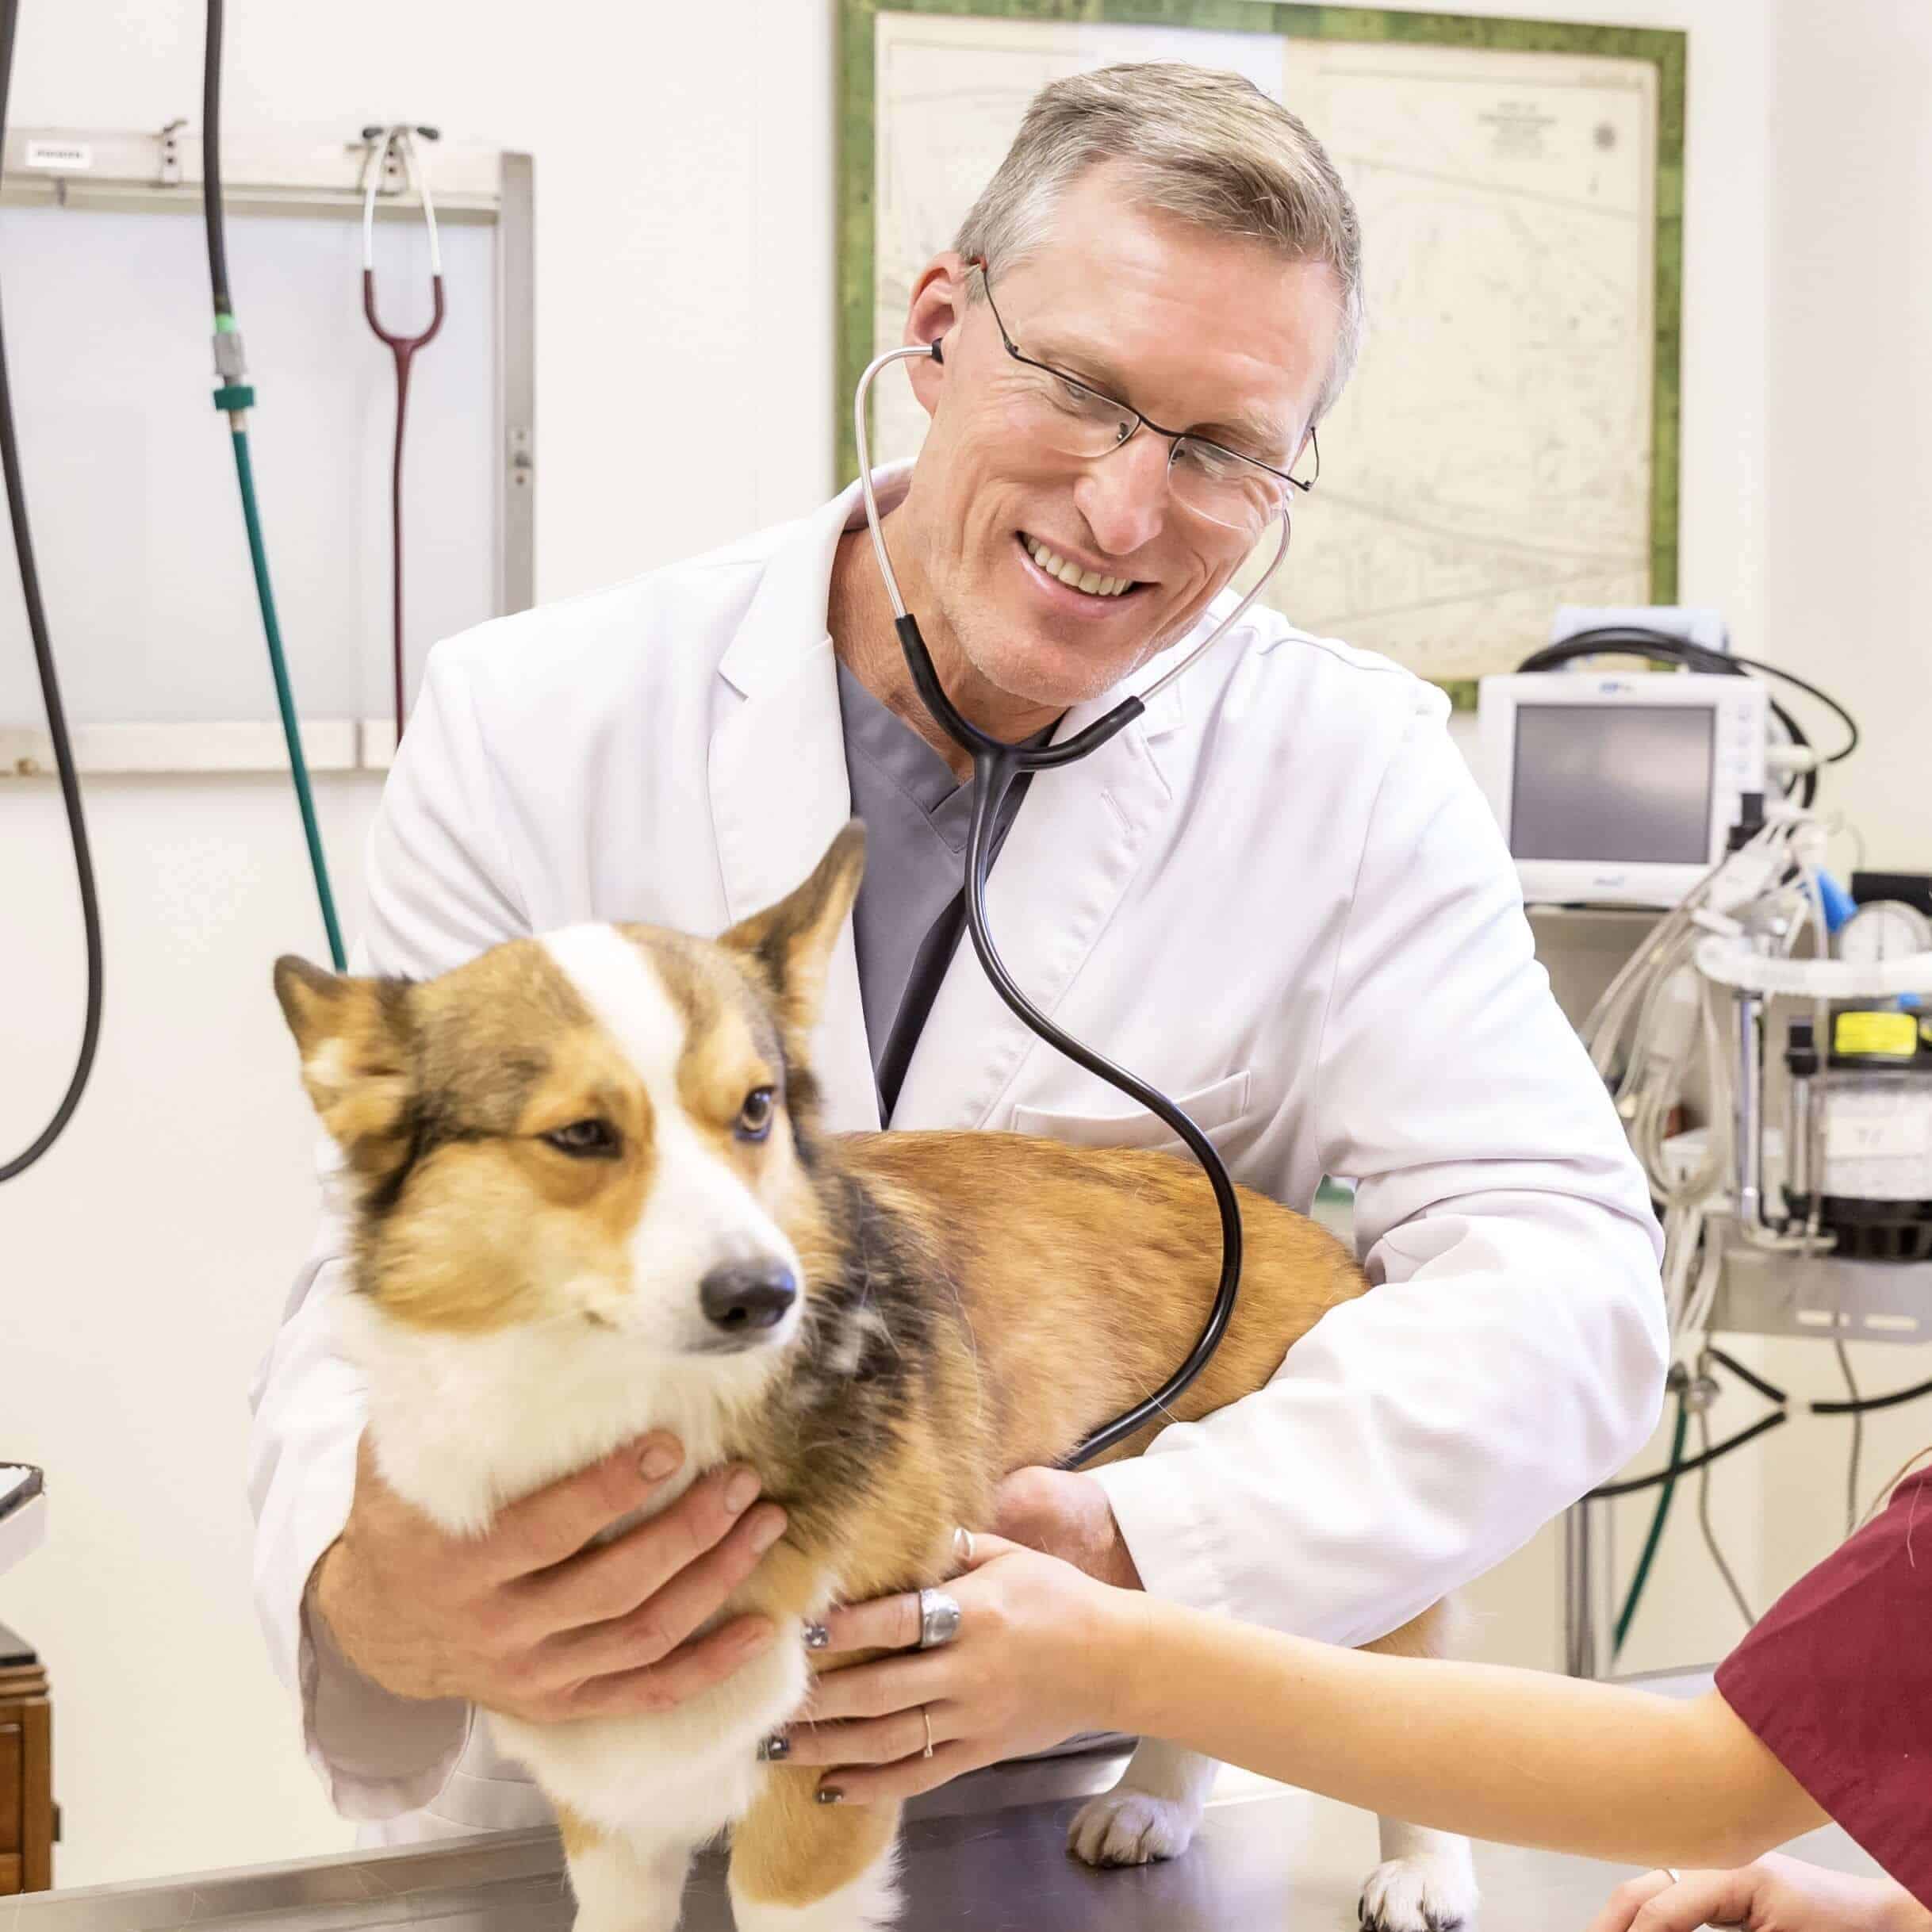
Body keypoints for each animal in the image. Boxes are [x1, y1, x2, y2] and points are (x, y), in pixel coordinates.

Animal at [276, 818, 1476, 1932]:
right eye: (580, 1134)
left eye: (757, 1108)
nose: (764, 1295)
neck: (619, 1405)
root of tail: (1311, 1234)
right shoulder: (609, 1785)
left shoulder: (822, 1777)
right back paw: (1152, 1806)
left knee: (1408, 1680)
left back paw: (1420, 1871)